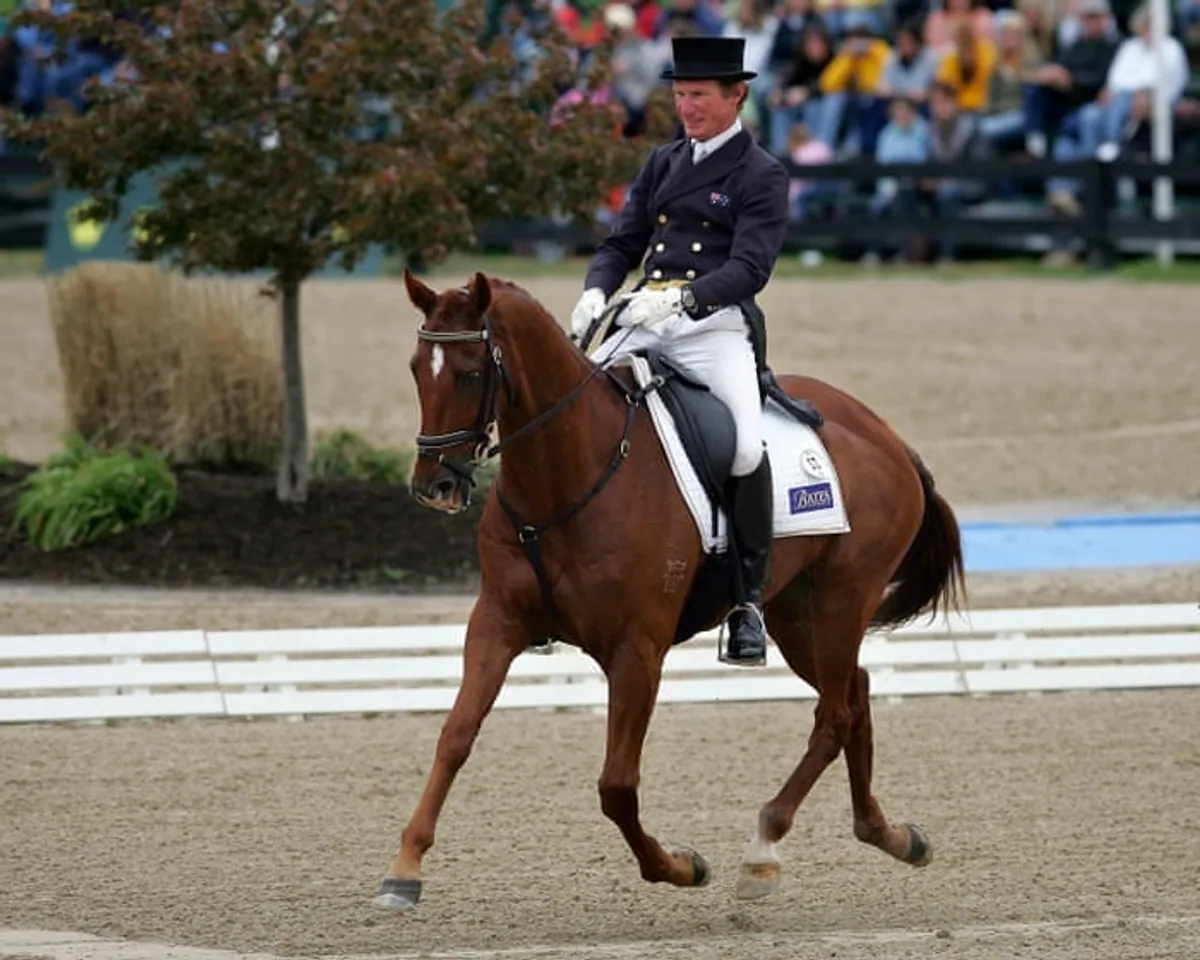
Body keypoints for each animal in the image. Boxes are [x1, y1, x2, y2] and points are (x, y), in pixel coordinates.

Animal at [373, 268, 966, 911]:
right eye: (415, 367)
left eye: (470, 373)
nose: (434, 487)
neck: (571, 472)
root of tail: (887, 436)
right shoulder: (497, 622)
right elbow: (455, 736)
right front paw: (404, 870)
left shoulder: (638, 652)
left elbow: (616, 785)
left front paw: (681, 866)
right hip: (795, 612)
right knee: (855, 693)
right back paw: (891, 835)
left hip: (843, 597)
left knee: (834, 714)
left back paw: (764, 848)